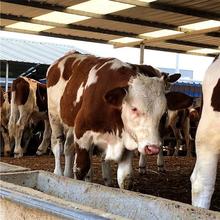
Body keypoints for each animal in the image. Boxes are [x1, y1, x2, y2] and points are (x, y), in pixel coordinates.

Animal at [46, 50, 192, 188]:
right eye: (134, 108)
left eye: (163, 112)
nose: (153, 147)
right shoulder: (82, 135)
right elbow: (81, 169)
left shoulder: (126, 144)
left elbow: (125, 178)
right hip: (54, 117)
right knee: (58, 145)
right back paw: (58, 173)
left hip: (70, 125)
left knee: (69, 147)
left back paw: (70, 175)